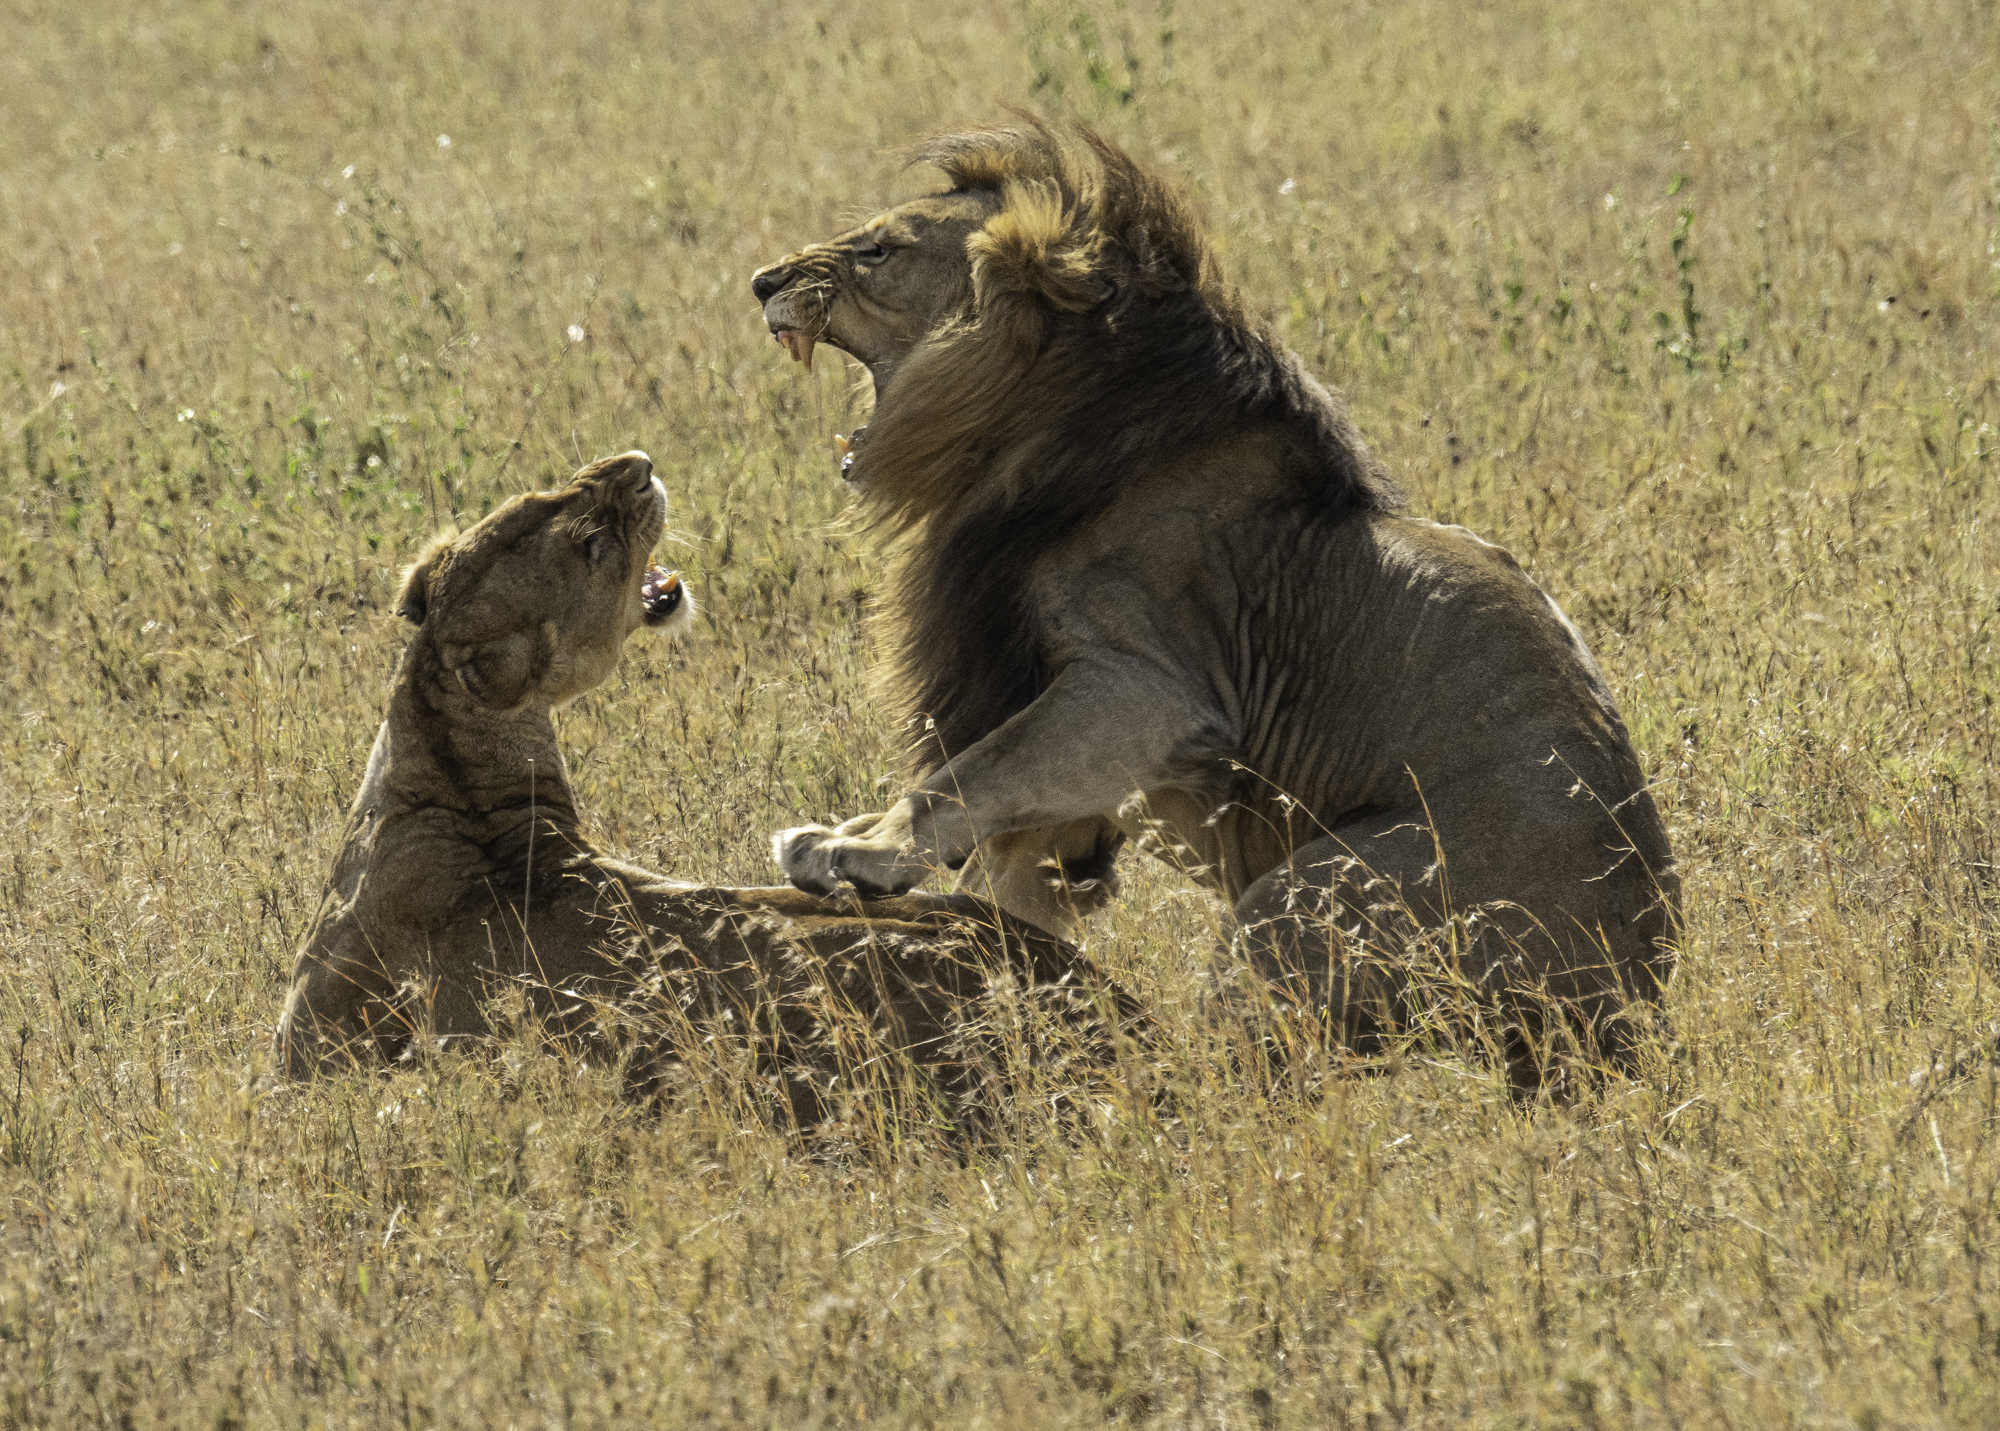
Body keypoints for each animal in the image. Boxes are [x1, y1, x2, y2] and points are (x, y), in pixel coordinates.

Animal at [751, 119, 1679, 1082]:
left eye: (878, 250)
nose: (762, 282)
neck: (1034, 421)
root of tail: (1628, 1003)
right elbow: (1011, 843)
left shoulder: (1147, 686)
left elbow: (971, 770)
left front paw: (862, 852)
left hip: (1295, 896)